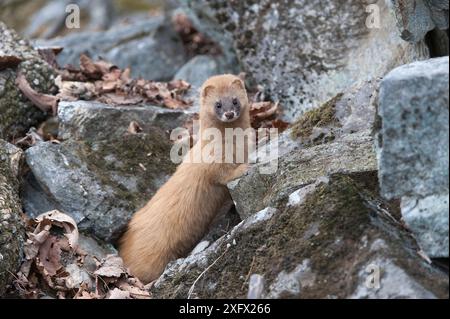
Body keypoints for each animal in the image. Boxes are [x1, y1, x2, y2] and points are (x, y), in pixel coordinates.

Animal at [119, 75, 251, 284]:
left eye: (235, 100)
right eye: (218, 104)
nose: (229, 113)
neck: (233, 144)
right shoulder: (212, 160)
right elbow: (220, 174)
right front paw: (242, 168)